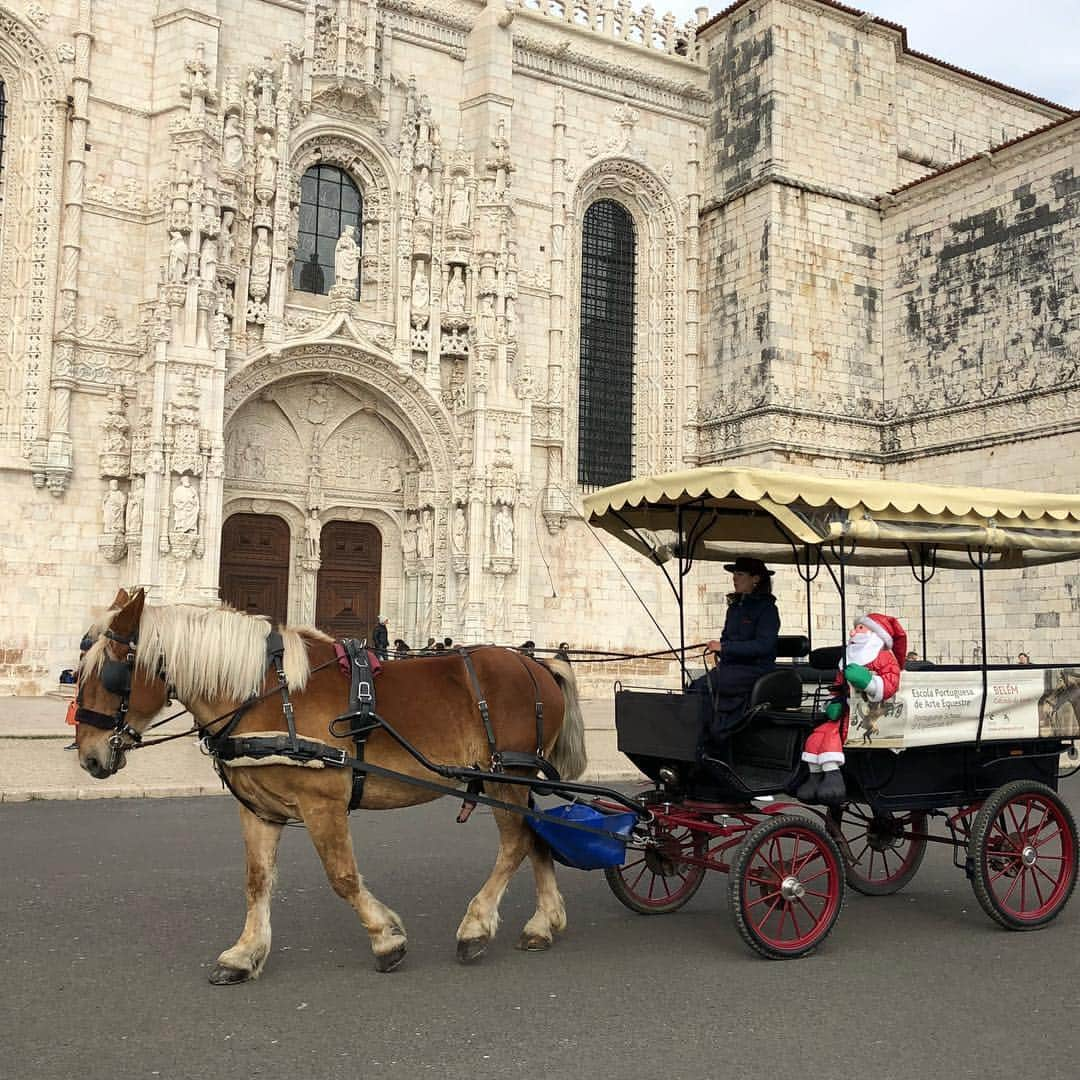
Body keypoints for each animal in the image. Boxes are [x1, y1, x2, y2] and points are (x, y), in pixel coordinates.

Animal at [76, 591, 587, 980]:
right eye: (78, 671)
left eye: (110, 673)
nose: (88, 756)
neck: (266, 694)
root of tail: (538, 665)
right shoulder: (259, 808)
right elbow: (256, 880)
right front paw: (245, 953)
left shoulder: (322, 800)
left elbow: (342, 877)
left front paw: (386, 939)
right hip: (515, 778)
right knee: (536, 837)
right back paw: (542, 924)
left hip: (508, 777)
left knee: (516, 842)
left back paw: (475, 927)